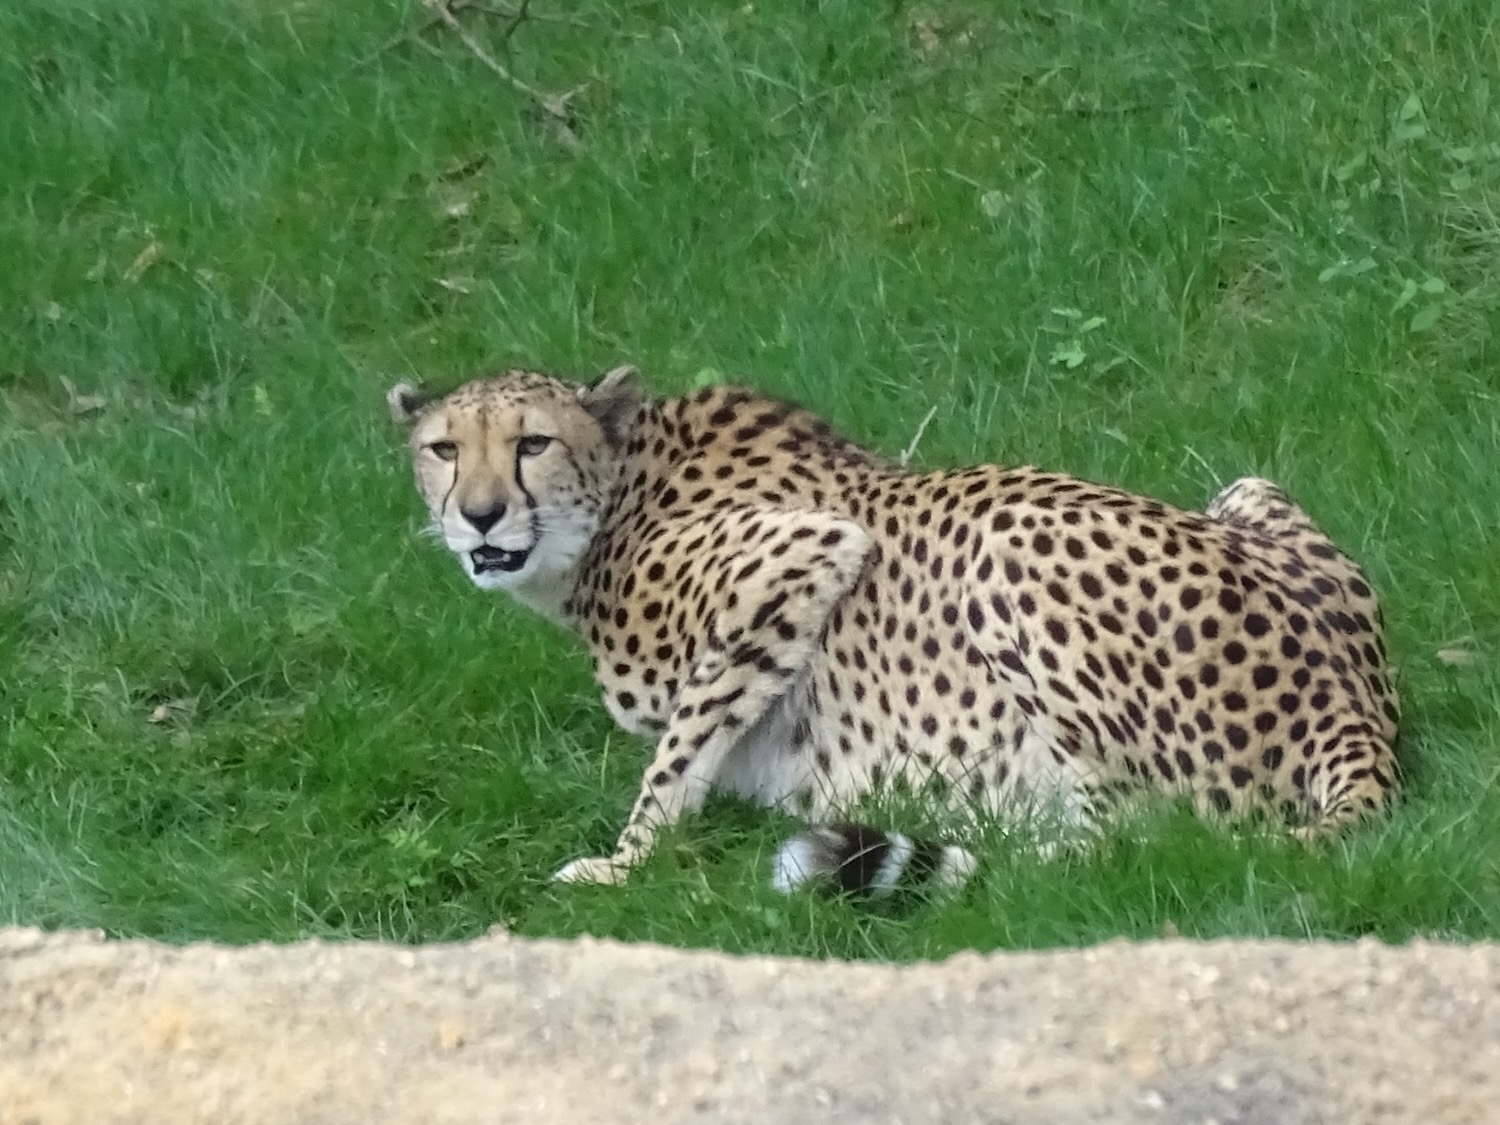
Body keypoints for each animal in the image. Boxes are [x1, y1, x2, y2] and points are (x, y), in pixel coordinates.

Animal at [387, 365, 1399, 894]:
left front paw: (621, 862)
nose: (479, 516)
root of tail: (1359, 707)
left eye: (532, 443)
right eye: (444, 449)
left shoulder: (800, 553)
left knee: (1146, 835)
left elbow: (676, 753)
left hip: (1006, 537)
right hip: (1247, 488)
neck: (616, 495)